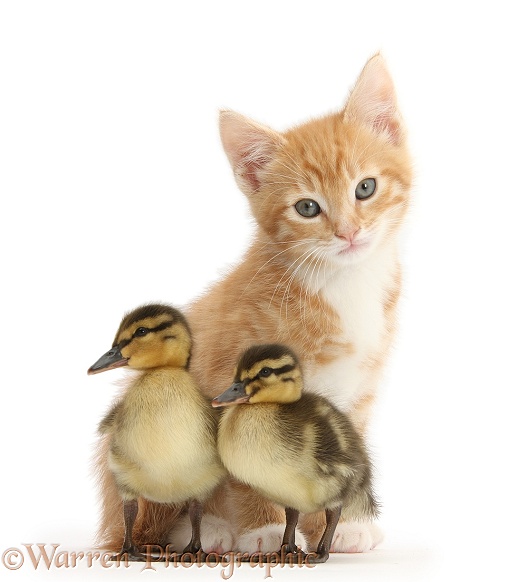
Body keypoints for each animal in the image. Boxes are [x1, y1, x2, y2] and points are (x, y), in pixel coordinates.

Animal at [97, 53, 414, 556]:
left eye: (365, 188)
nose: (348, 233)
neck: (337, 283)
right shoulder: (231, 377)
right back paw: (207, 531)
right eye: (307, 207)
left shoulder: (358, 392)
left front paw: (341, 525)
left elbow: (342, 448)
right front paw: (264, 530)